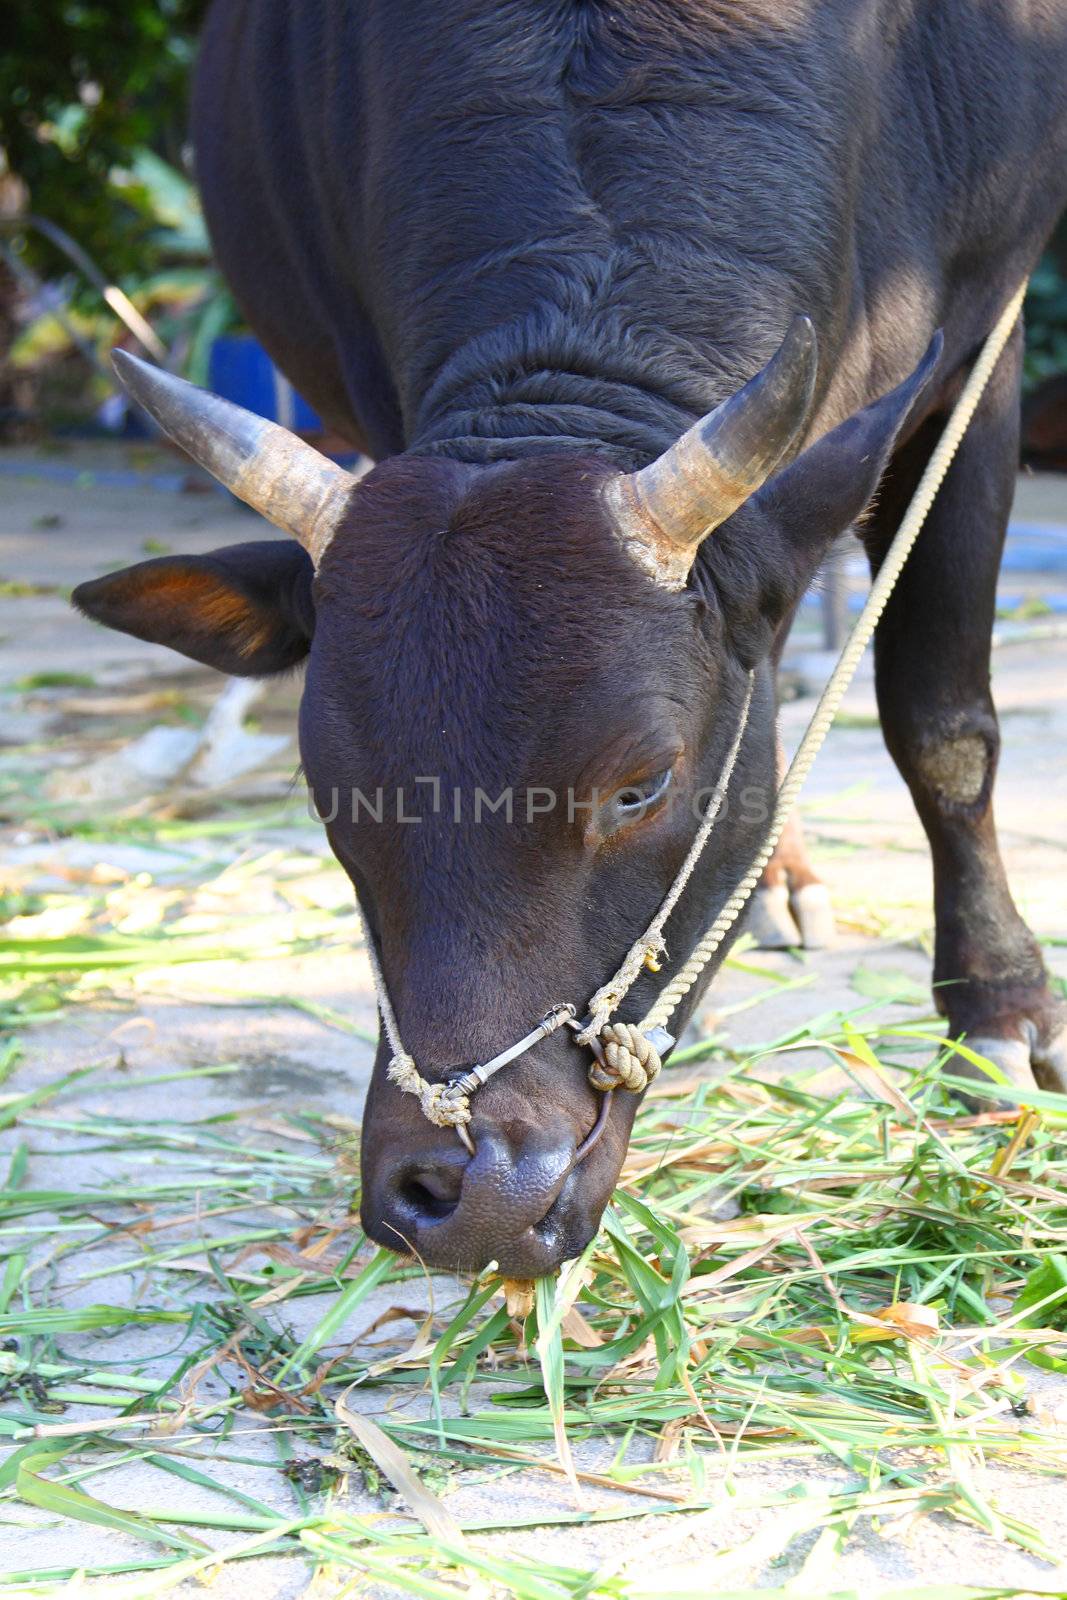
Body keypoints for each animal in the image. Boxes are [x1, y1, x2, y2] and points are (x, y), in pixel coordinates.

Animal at [75, 0, 1067, 1273]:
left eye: (641, 785)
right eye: (326, 792)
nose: (458, 1194)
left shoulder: (982, 346)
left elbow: (942, 725)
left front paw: (997, 1012)